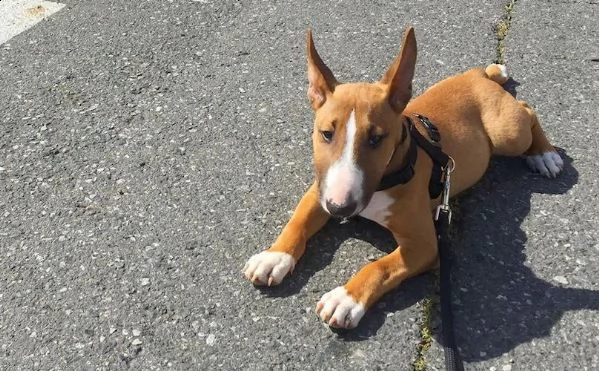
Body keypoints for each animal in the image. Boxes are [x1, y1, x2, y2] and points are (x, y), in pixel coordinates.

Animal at [243, 27, 564, 330]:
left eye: (376, 138)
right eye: (326, 134)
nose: (340, 209)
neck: (383, 182)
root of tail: (477, 76)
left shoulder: (424, 245)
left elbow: (380, 267)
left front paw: (345, 299)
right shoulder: (319, 191)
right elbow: (298, 221)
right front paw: (275, 257)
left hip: (507, 134)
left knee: (528, 110)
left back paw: (545, 154)